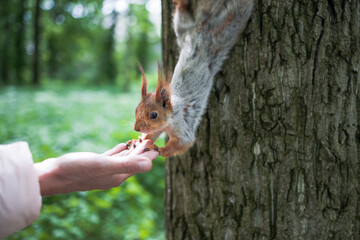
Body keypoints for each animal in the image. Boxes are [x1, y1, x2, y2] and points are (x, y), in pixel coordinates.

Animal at [128, 0, 255, 158]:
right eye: (136, 109)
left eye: (154, 115)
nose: (136, 128)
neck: (171, 115)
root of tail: (203, 37)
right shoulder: (159, 128)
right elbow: (152, 134)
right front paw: (139, 140)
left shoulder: (182, 126)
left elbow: (184, 142)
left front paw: (159, 149)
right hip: (183, 34)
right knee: (181, 23)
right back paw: (181, 5)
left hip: (216, 40)